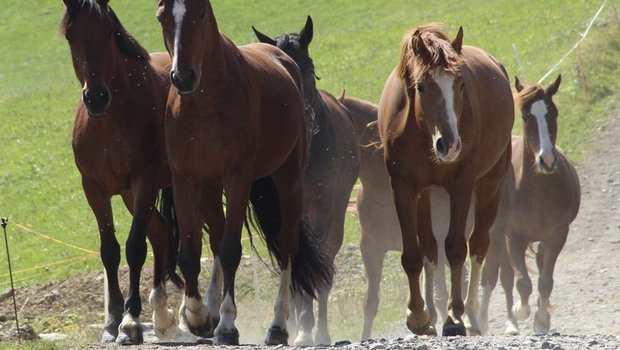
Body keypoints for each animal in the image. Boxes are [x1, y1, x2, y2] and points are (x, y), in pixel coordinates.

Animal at [59, 0, 185, 344]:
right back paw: (162, 314)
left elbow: (134, 247)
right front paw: (112, 322)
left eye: (107, 32)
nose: (96, 97)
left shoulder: (144, 182)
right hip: (129, 195)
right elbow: (110, 250)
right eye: (71, 35)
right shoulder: (94, 189)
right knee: (160, 231)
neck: (110, 122)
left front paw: (130, 322)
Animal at [155, 0, 334, 344]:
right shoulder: (186, 181)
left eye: (200, 14)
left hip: (288, 181)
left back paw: (277, 325)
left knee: (287, 246)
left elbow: (229, 250)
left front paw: (226, 324)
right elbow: (190, 253)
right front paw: (197, 317)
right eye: (162, 18)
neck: (205, 106)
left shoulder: (238, 178)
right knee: (216, 235)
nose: (183, 77)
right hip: (211, 189)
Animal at [251, 15, 358, 344]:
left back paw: (319, 328)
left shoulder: (322, 209)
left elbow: (318, 261)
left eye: (308, 68)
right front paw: (298, 325)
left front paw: (310, 328)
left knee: (326, 264)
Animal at [378, 24, 512, 336]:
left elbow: (455, 247)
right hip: (425, 193)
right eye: (421, 87)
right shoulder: (403, 188)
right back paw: (430, 314)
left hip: (490, 184)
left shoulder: (461, 186)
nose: (449, 145)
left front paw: (455, 317)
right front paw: (417, 315)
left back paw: (472, 315)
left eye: (461, 85)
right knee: (429, 247)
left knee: (478, 245)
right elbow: (413, 254)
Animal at [474, 75, 580, 334]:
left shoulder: (557, 235)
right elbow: (522, 282)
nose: (547, 160)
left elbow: (545, 281)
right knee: (500, 276)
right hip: (498, 238)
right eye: (524, 116)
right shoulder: (513, 236)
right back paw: (505, 323)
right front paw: (520, 312)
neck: (537, 190)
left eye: (554, 113)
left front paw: (542, 321)